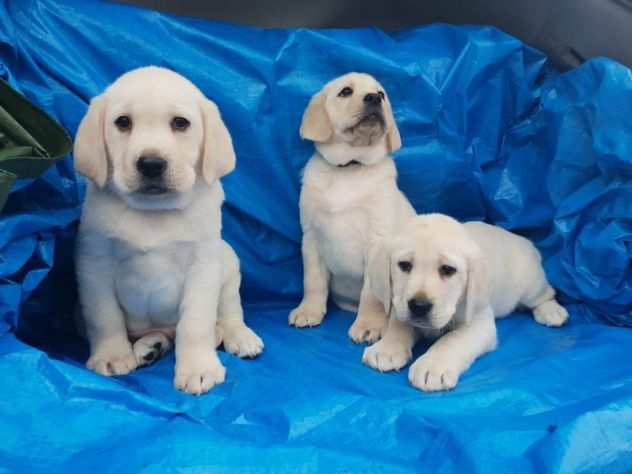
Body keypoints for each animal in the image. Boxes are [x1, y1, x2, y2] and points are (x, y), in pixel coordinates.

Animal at [73, 65, 262, 394]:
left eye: (180, 123)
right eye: (123, 122)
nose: (151, 163)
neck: (154, 211)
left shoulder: (202, 266)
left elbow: (195, 324)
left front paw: (198, 367)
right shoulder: (94, 264)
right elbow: (104, 316)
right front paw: (111, 355)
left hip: (228, 261)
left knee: (229, 311)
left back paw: (239, 336)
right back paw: (150, 346)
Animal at [290, 72, 414, 342]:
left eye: (382, 93)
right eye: (346, 91)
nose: (374, 98)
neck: (350, 167)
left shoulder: (378, 242)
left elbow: (371, 294)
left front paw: (368, 325)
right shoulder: (311, 237)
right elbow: (312, 281)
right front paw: (309, 311)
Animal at [362, 215, 572, 392]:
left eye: (448, 269)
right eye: (404, 265)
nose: (419, 306)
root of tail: (523, 240)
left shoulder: (480, 323)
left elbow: (452, 339)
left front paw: (432, 366)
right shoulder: (400, 304)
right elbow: (399, 324)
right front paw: (386, 349)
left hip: (530, 285)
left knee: (547, 294)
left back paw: (552, 311)